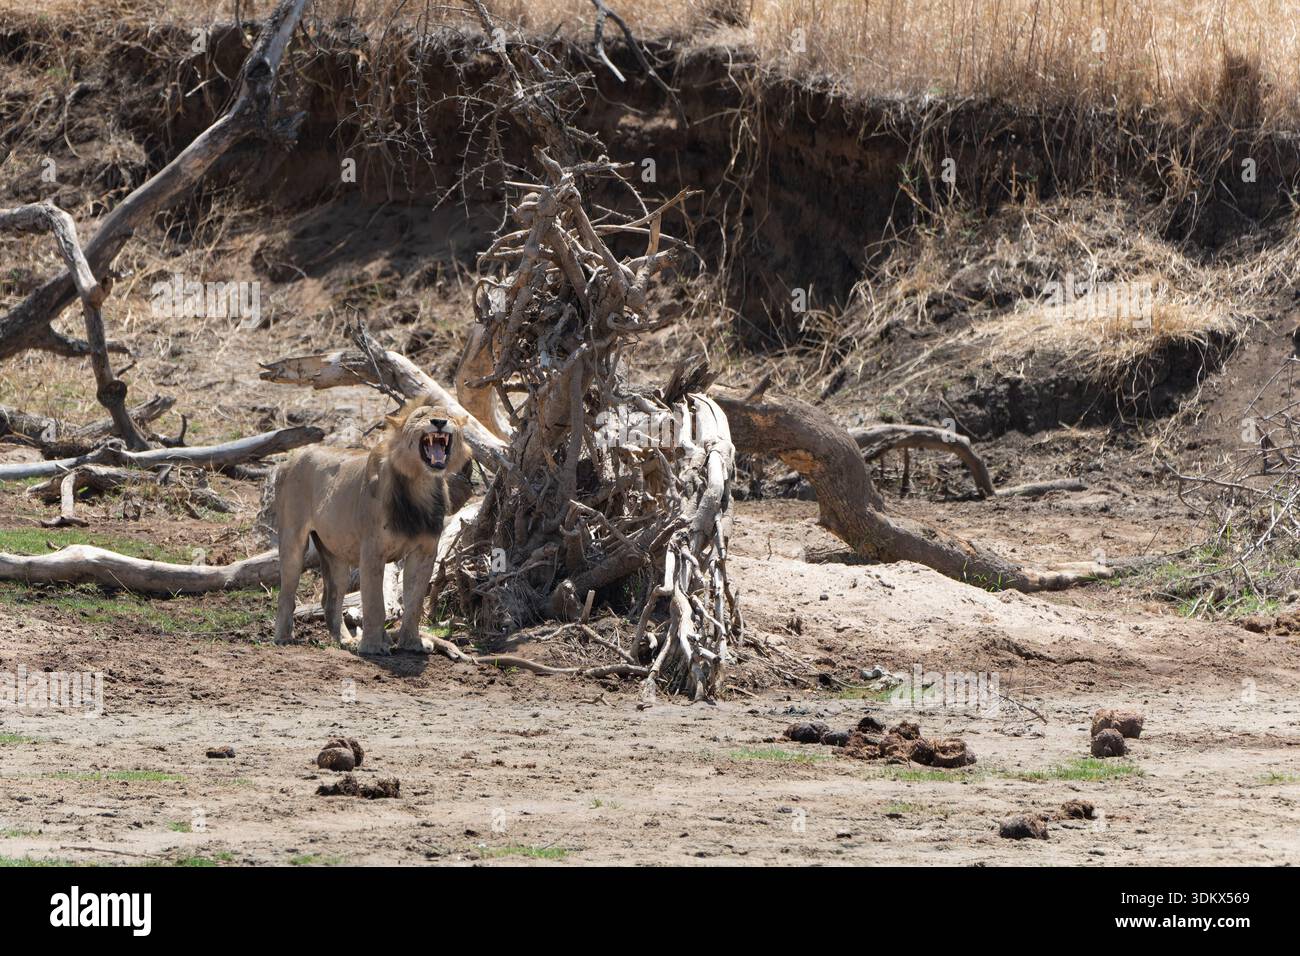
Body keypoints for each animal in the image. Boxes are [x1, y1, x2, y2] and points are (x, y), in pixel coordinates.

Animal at [272, 399, 472, 655]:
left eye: (449, 415)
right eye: (420, 416)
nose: (439, 422)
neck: (420, 484)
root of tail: (289, 460)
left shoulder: (425, 551)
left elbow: (415, 601)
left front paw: (412, 643)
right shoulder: (372, 549)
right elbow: (375, 602)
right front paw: (373, 646)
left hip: (335, 552)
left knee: (331, 598)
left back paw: (345, 640)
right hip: (293, 537)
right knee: (287, 591)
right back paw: (283, 637)